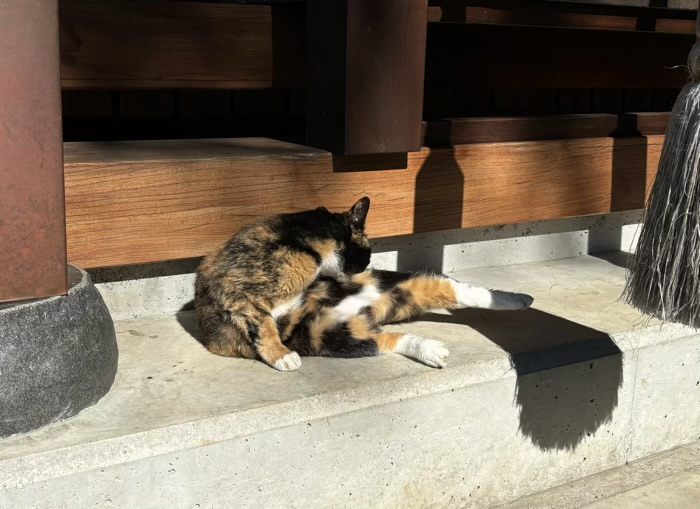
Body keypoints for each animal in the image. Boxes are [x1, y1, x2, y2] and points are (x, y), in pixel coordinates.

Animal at [194, 197, 532, 370]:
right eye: (366, 253)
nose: (364, 268)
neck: (307, 237)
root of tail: (367, 308)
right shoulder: (241, 294)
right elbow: (261, 323)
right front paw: (281, 356)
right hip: (330, 335)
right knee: (390, 338)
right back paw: (433, 349)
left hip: (380, 298)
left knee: (453, 290)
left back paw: (519, 300)